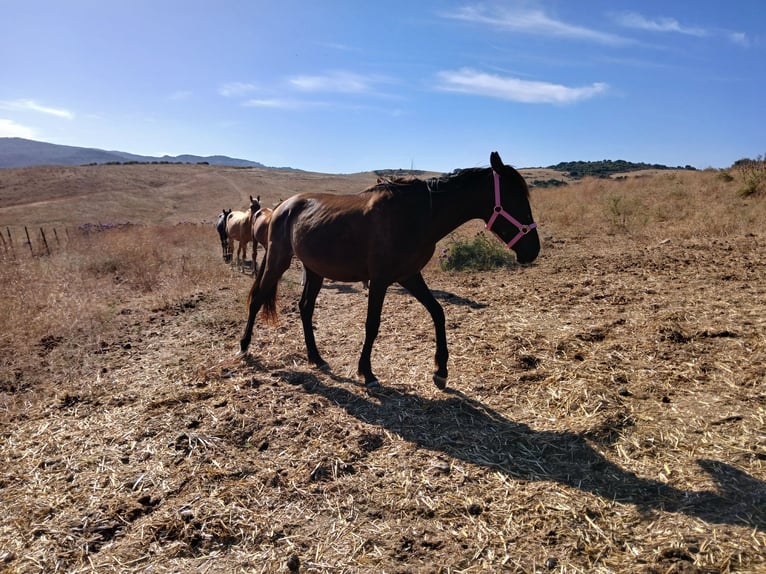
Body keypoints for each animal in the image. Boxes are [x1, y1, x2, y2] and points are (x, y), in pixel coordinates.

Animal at [238, 151, 540, 390]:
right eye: (516, 200)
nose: (533, 250)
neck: (416, 215)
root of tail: (282, 207)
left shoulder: (409, 276)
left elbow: (438, 313)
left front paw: (441, 371)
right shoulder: (380, 280)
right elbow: (372, 325)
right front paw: (367, 372)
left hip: (314, 270)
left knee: (305, 308)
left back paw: (316, 358)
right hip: (278, 261)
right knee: (258, 299)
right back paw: (244, 347)